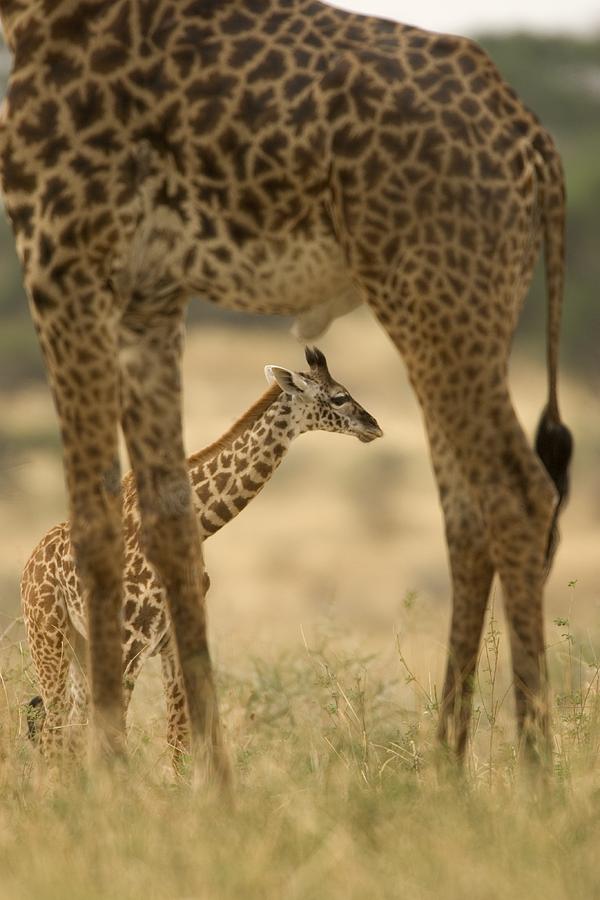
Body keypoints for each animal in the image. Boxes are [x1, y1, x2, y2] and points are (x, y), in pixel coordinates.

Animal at [23, 348, 382, 764]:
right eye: (339, 397)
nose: (373, 426)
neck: (198, 525)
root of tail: (28, 568)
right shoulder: (129, 643)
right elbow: (116, 734)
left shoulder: (178, 643)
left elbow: (178, 740)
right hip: (49, 636)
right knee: (55, 728)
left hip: (81, 647)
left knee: (68, 729)